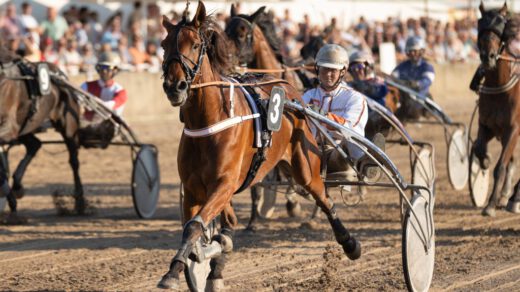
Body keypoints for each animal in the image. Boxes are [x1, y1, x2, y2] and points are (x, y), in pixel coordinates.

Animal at [0, 48, 84, 221]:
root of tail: (58, 73)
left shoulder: (9, 127)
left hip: (68, 125)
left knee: (74, 161)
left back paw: (79, 202)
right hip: (25, 127)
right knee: (35, 144)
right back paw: (17, 188)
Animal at [158, 1, 362, 288]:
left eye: (196, 44)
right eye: (164, 44)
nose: (174, 87)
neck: (209, 120)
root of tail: (290, 91)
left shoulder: (224, 183)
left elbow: (195, 226)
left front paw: (177, 270)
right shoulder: (195, 188)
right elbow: (202, 228)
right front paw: (190, 264)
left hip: (305, 167)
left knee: (324, 199)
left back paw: (349, 242)